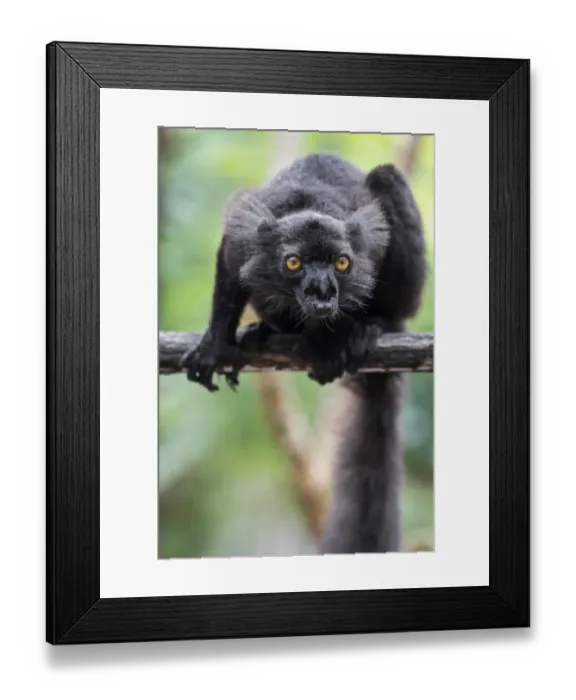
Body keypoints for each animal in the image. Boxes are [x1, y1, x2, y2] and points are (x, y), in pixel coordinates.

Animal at [180, 152, 427, 554]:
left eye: (342, 263)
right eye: (293, 263)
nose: (323, 295)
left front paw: (336, 339)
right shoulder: (244, 234)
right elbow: (230, 262)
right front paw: (216, 342)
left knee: (387, 178)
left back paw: (373, 326)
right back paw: (268, 330)